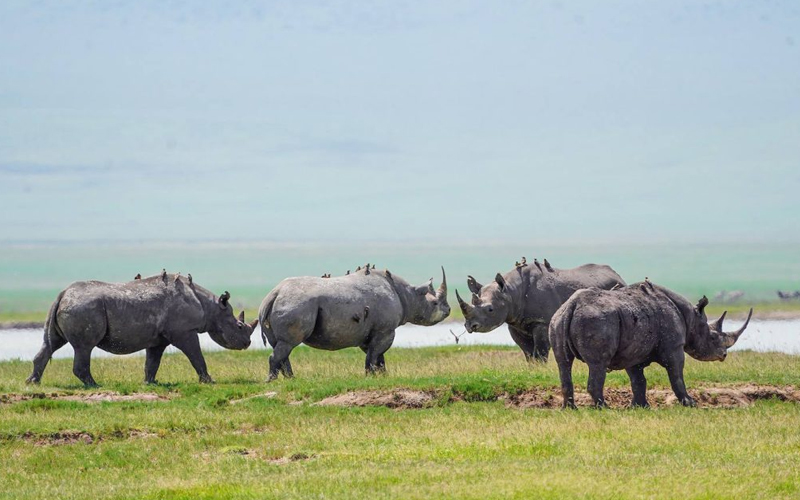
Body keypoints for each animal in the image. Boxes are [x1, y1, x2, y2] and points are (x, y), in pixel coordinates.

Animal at [26, 272, 254, 387]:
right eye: (239, 326)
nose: (248, 343)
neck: (211, 307)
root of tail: (63, 294)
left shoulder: (159, 338)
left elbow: (152, 362)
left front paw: (150, 383)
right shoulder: (184, 332)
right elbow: (196, 356)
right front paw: (209, 381)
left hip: (70, 306)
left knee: (52, 343)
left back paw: (32, 383)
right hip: (84, 307)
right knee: (84, 347)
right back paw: (95, 386)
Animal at [258, 266, 450, 380]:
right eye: (435, 304)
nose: (448, 310)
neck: (408, 295)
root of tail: (274, 293)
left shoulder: (370, 332)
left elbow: (377, 356)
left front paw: (382, 376)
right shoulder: (385, 330)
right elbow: (375, 354)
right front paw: (370, 377)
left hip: (280, 305)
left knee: (282, 346)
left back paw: (291, 380)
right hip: (296, 305)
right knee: (287, 344)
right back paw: (272, 381)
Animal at [456, 259, 624, 362]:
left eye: (490, 309)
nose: (470, 326)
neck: (511, 291)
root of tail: (618, 275)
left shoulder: (542, 321)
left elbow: (541, 351)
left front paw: (540, 368)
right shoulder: (515, 323)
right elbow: (527, 352)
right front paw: (532, 369)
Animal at [549, 281, 753, 408]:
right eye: (712, 338)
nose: (723, 355)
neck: (693, 319)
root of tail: (572, 306)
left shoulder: (633, 348)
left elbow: (638, 380)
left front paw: (640, 406)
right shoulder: (674, 347)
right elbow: (676, 375)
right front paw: (691, 403)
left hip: (558, 319)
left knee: (563, 363)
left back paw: (570, 409)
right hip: (597, 321)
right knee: (597, 363)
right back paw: (604, 408)